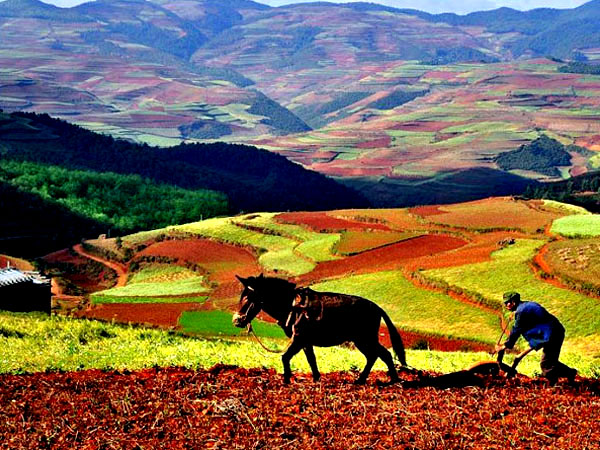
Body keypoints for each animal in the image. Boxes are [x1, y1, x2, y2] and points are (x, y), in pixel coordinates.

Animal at [232, 274, 406, 384]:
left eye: (249, 297)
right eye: (242, 296)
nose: (237, 320)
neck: (293, 306)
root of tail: (377, 308)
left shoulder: (299, 339)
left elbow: (285, 357)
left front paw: (287, 380)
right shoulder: (305, 342)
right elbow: (311, 359)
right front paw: (316, 379)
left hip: (364, 338)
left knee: (380, 355)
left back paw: (387, 380)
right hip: (362, 340)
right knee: (377, 355)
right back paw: (377, 379)